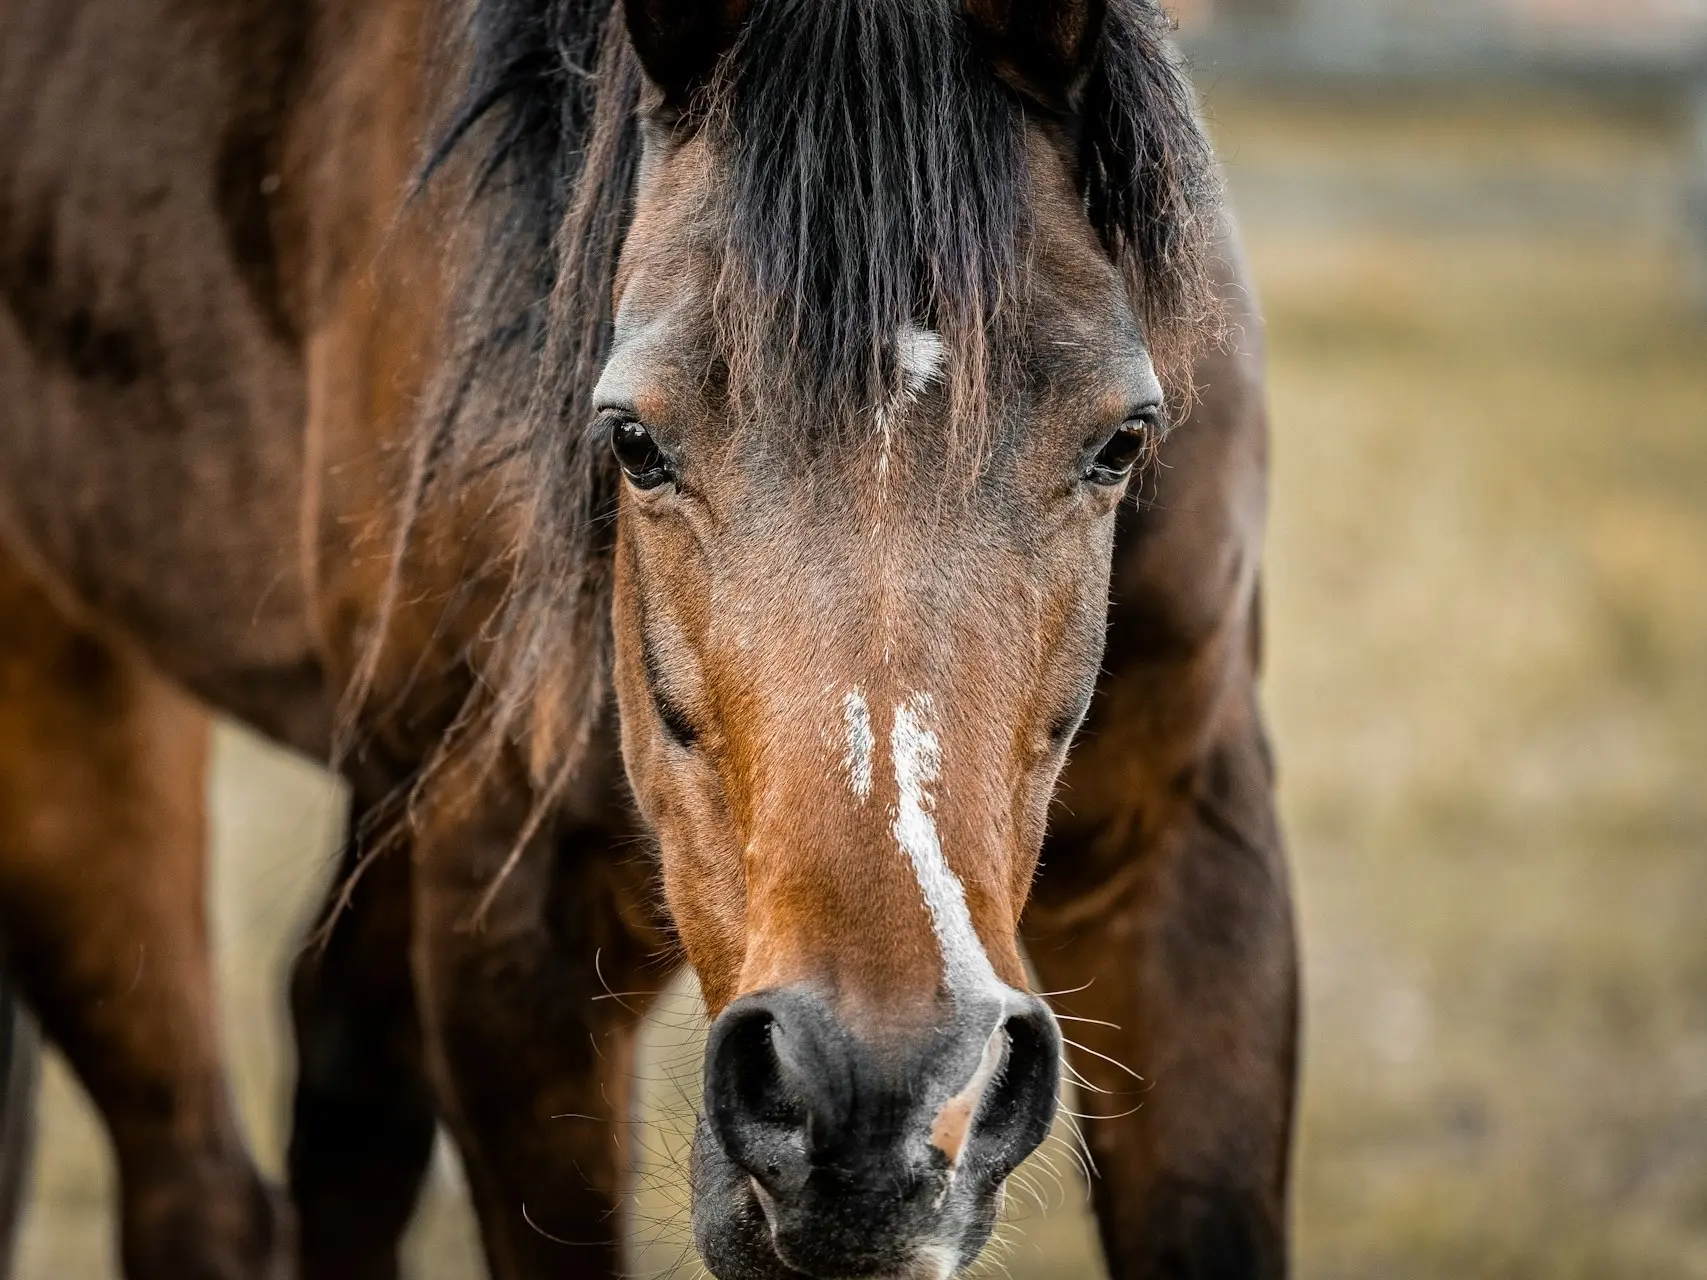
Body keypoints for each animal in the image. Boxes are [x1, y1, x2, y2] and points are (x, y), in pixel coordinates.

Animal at [0, 0, 1290, 1276]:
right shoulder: (516, 925)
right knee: (196, 1179)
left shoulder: (1187, 842)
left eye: (1122, 439)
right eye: (633, 440)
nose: (878, 1095)